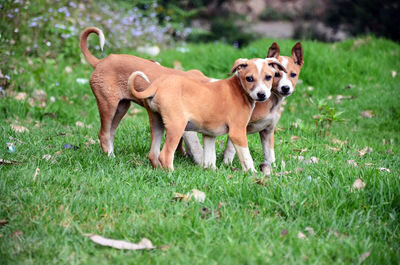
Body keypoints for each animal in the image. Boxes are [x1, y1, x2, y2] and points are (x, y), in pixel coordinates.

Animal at [80, 26, 206, 161]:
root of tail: (100, 62)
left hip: (121, 107)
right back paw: (110, 156)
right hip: (109, 105)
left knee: (110, 133)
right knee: (103, 134)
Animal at [126, 57, 286, 171]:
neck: (238, 89)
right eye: (249, 78)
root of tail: (157, 85)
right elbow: (246, 158)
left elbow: (209, 158)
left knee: (153, 154)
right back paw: (172, 174)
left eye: (268, 77)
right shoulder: (238, 132)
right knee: (165, 155)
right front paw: (253, 174)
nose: (262, 95)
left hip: (157, 123)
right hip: (177, 126)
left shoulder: (209, 135)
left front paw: (212, 171)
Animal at [222, 41, 304, 173]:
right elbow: (231, 148)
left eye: (293, 74)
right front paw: (227, 165)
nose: (285, 88)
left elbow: (269, 153)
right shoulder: (238, 127)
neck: (272, 102)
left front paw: (272, 167)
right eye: (276, 74)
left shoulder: (268, 131)